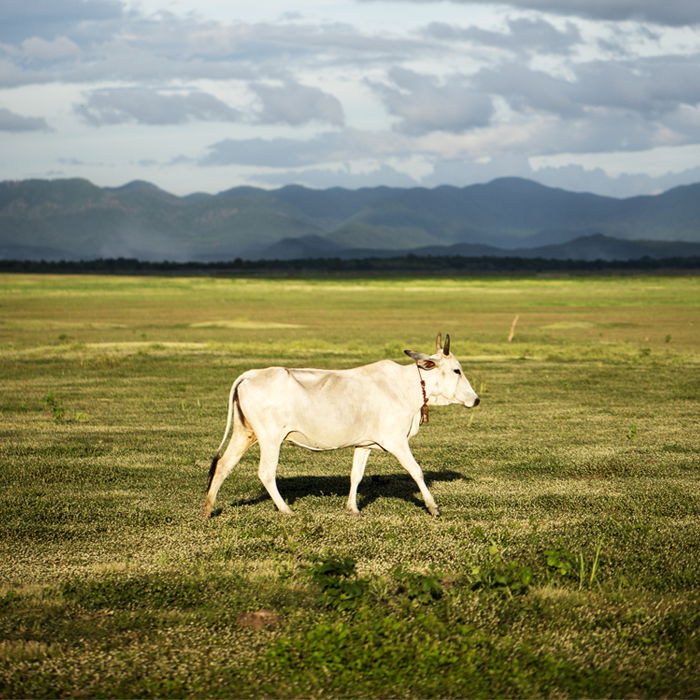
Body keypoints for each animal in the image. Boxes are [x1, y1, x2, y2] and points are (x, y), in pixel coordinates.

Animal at [200, 330, 478, 516]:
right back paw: (286, 510)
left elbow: (356, 475)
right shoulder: (396, 441)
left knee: (223, 465)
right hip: (270, 438)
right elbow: (416, 471)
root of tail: (251, 374)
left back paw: (208, 508)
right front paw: (433, 507)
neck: (407, 385)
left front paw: (352, 508)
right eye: (457, 370)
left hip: (244, 433)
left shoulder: (364, 444)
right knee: (266, 473)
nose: (475, 399)